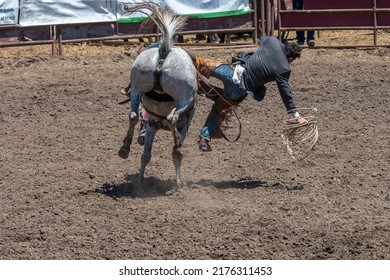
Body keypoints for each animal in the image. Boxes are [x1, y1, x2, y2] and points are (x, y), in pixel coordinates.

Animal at [116, 2, 197, 188]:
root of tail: (164, 50)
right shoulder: (184, 126)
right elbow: (174, 154)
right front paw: (179, 183)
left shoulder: (151, 125)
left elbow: (146, 155)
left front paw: (140, 181)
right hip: (184, 98)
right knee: (172, 118)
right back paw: (177, 143)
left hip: (137, 88)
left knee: (132, 115)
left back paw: (125, 148)